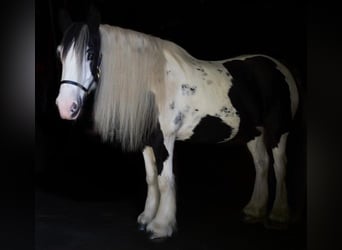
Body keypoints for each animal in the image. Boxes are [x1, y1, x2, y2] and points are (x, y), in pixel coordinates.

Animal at [54, 9, 300, 239]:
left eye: (89, 53)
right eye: (60, 54)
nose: (66, 107)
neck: (155, 83)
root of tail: (280, 68)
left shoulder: (166, 140)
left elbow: (165, 180)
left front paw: (161, 226)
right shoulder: (148, 142)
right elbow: (151, 178)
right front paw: (146, 217)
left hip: (279, 131)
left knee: (279, 166)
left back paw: (278, 216)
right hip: (253, 133)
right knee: (262, 164)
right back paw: (254, 210)